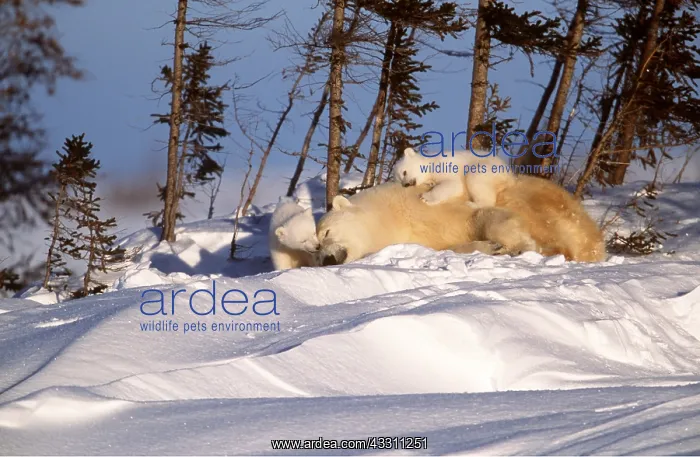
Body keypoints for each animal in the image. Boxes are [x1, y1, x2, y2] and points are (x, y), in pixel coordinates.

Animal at [316, 178, 606, 266]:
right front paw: (490, 247)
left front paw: (513, 245)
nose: (327, 258)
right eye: (314, 251)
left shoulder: (426, 201)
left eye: (326, 232)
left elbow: (479, 216)